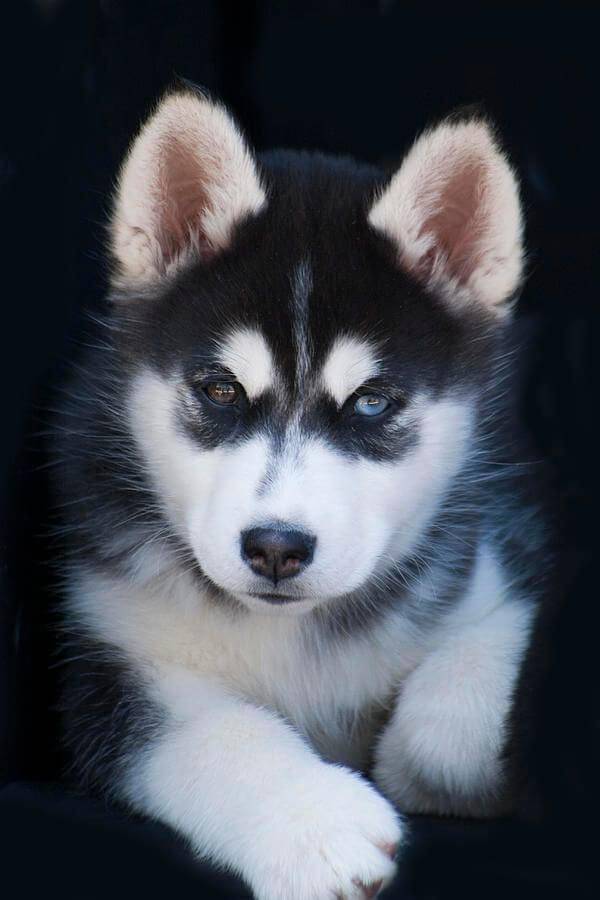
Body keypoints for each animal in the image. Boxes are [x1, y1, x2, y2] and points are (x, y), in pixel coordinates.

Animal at [56, 86, 548, 900]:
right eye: (221, 390)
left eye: (372, 402)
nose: (276, 548)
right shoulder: (98, 659)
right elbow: (211, 729)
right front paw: (316, 824)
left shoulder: (495, 562)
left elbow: (453, 715)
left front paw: (423, 764)